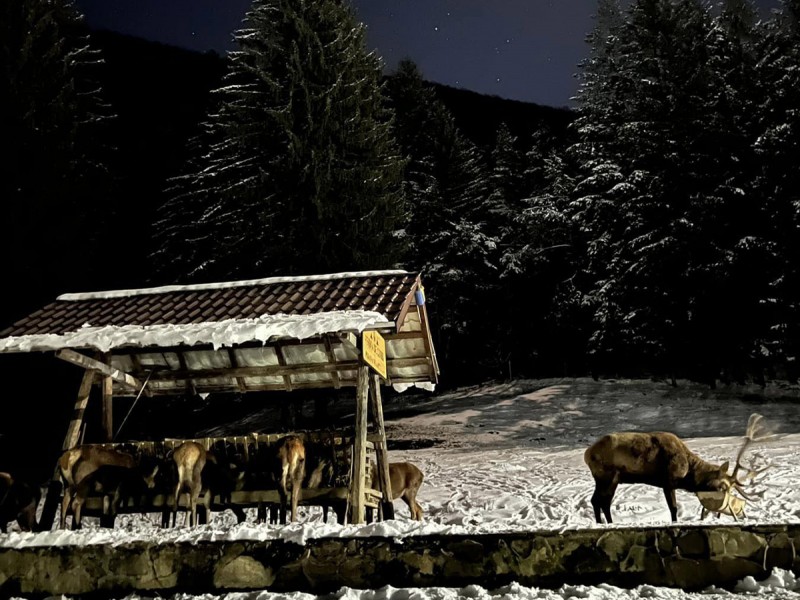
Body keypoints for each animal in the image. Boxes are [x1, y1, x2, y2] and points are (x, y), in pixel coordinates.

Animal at [584, 413, 771, 524]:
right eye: (723, 486)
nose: (725, 503)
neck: (687, 474)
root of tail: (587, 454)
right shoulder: (668, 481)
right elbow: (673, 508)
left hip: (606, 479)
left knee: (598, 500)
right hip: (608, 476)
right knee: (601, 501)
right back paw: (607, 523)